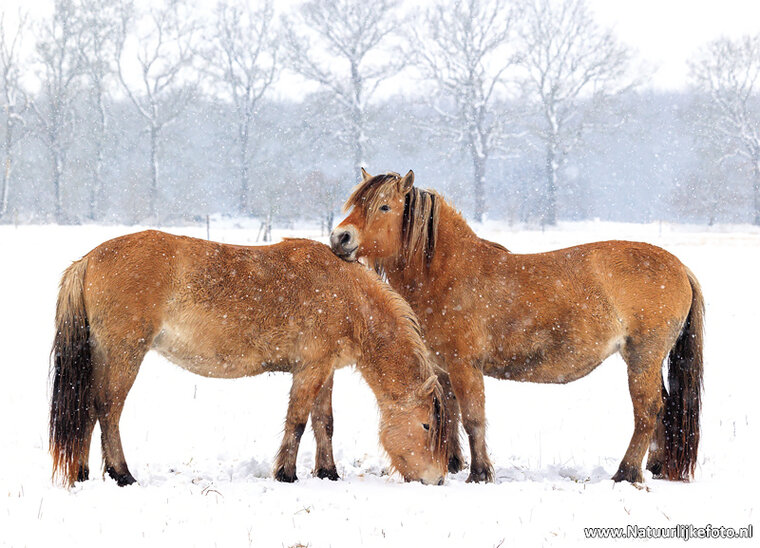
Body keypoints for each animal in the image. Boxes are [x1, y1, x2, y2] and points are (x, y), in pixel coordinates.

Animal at [49, 230, 448, 487]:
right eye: (427, 425)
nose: (438, 478)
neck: (347, 295)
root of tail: (86, 261)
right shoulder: (310, 369)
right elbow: (298, 421)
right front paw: (286, 474)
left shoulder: (324, 369)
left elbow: (325, 423)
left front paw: (328, 473)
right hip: (123, 354)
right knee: (107, 410)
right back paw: (122, 474)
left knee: (86, 410)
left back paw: (83, 474)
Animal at [330, 169, 704, 484]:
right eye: (354, 203)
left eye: (384, 206)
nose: (340, 238)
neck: (447, 272)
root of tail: (680, 267)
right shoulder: (443, 367)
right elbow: (448, 416)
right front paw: (452, 464)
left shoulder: (465, 366)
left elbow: (473, 418)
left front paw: (480, 473)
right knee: (664, 406)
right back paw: (655, 466)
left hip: (643, 356)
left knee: (648, 410)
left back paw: (626, 473)